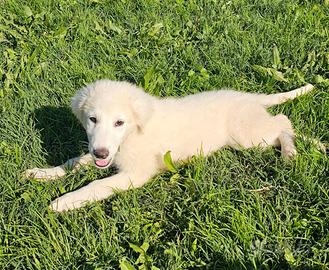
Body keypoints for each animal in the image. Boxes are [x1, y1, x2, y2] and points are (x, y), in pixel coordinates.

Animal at [25, 81, 312, 212]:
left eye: (119, 122)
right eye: (93, 119)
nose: (101, 153)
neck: (133, 133)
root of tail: (249, 97)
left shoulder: (136, 173)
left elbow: (96, 185)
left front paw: (64, 202)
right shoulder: (105, 153)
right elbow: (74, 162)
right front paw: (43, 173)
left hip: (247, 137)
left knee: (284, 122)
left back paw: (291, 152)